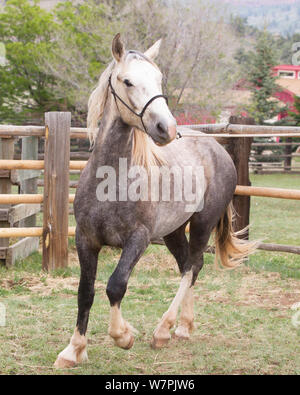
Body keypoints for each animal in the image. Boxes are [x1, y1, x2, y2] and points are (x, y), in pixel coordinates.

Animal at [53, 34, 255, 372]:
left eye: (160, 79)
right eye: (127, 81)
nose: (166, 128)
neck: (112, 179)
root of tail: (216, 147)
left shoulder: (139, 238)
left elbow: (115, 285)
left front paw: (123, 336)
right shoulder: (86, 239)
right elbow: (85, 291)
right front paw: (73, 350)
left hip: (202, 223)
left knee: (192, 267)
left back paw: (163, 330)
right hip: (173, 231)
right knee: (189, 266)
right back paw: (183, 327)